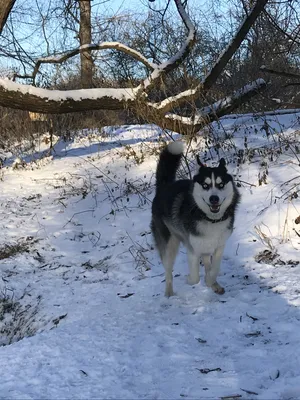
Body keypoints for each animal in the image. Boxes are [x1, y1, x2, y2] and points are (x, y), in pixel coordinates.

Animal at [151, 141, 240, 296]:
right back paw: (169, 293)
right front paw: (191, 279)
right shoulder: (192, 249)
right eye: (205, 185)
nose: (214, 198)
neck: (210, 219)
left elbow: (214, 269)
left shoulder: (219, 246)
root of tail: (164, 187)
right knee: (168, 271)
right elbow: (194, 278)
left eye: (221, 184)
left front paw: (211, 281)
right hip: (169, 244)